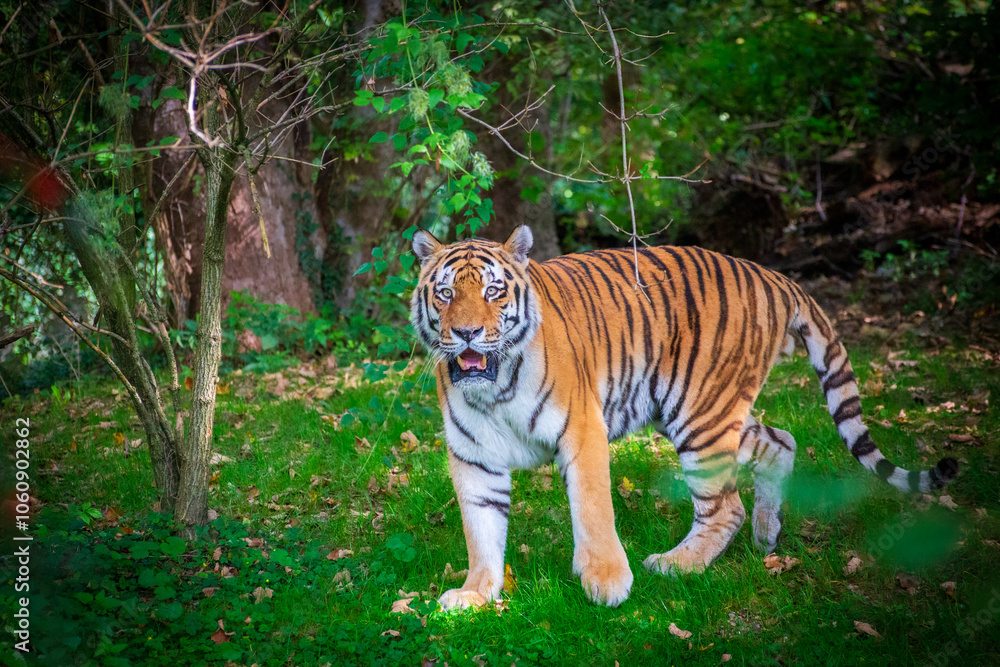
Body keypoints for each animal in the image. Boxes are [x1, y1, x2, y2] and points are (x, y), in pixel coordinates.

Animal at [410, 225, 958, 610]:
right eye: (445, 294)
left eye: (494, 292)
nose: (465, 333)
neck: (494, 388)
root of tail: (772, 275)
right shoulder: (474, 458)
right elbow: (481, 531)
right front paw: (476, 594)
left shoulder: (583, 431)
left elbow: (593, 510)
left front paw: (608, 582)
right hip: (709, 412)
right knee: (780, 441)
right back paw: (766, 535)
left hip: (700, 415)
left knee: (725, 507)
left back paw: (677, 565)